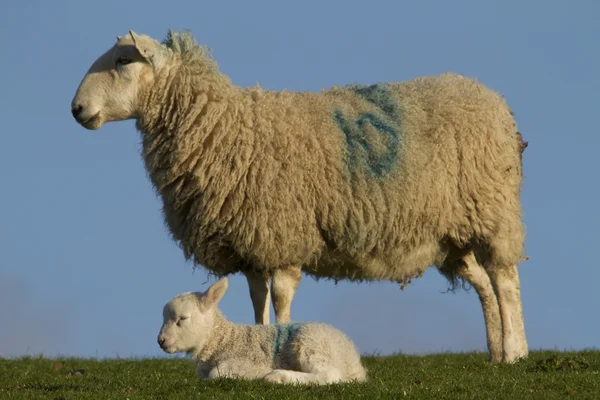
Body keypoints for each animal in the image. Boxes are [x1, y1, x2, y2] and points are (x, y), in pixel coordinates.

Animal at [71, 29, 528, 364]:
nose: (76, 109)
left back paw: (515, 352)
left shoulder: (284, 234)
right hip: (453, 235)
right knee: (484, 284)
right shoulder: (253, 244)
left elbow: (281, 297)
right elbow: (257, 299)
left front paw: (279, 339)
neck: (223, 127)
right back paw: (499, 353)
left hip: (492, 210)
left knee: (505, 280)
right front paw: (257, 340)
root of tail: (488, 96)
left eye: (123, 61)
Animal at [157, 278, 368, 384]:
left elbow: (216, 375)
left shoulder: (245, 360)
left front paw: (257, 374)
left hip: (312, 345)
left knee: (329, 375)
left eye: (182, 319)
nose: (161, 340)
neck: (224, 340)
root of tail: (353, 362)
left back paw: (278, 377)